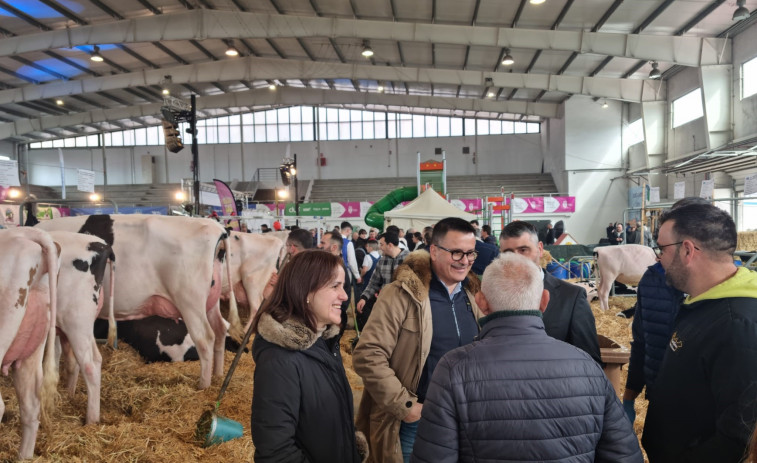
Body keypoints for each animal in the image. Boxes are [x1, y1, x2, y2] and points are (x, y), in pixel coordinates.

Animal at [37, 216, 241, 390]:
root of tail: (216, 227)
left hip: (190, 301)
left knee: (205, 339)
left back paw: (203, 386)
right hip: (210, 301)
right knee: (220, 329)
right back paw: (218, 376)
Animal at [43, 230, 113, 426]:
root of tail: (101, 244)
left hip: (76, 322)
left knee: (89, 366)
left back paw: (91, 420)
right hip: (80, 326)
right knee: (89, 359)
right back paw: (70, 396)